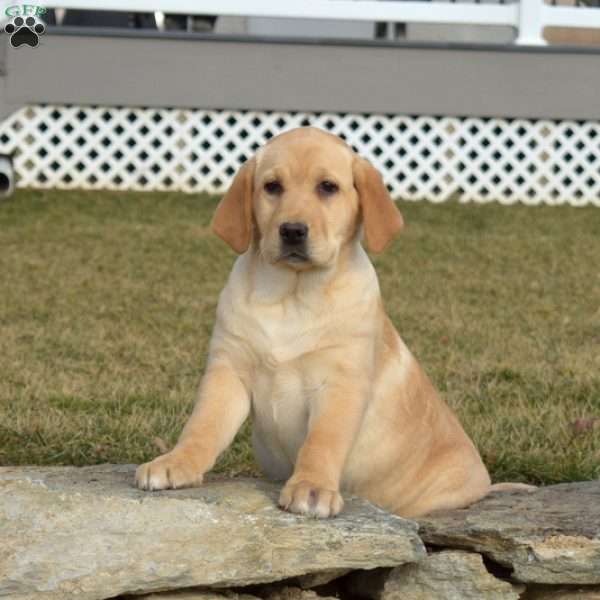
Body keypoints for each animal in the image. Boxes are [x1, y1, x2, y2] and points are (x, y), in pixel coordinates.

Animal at [138, 127, 494, 520]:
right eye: (272, 187)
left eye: (327, 187)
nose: (293, 230)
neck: (291, 295)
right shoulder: (228, 372)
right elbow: (203, 424)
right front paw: (176, 461)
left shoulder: (340, 383)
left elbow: (322, 441)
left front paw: (311, 487)